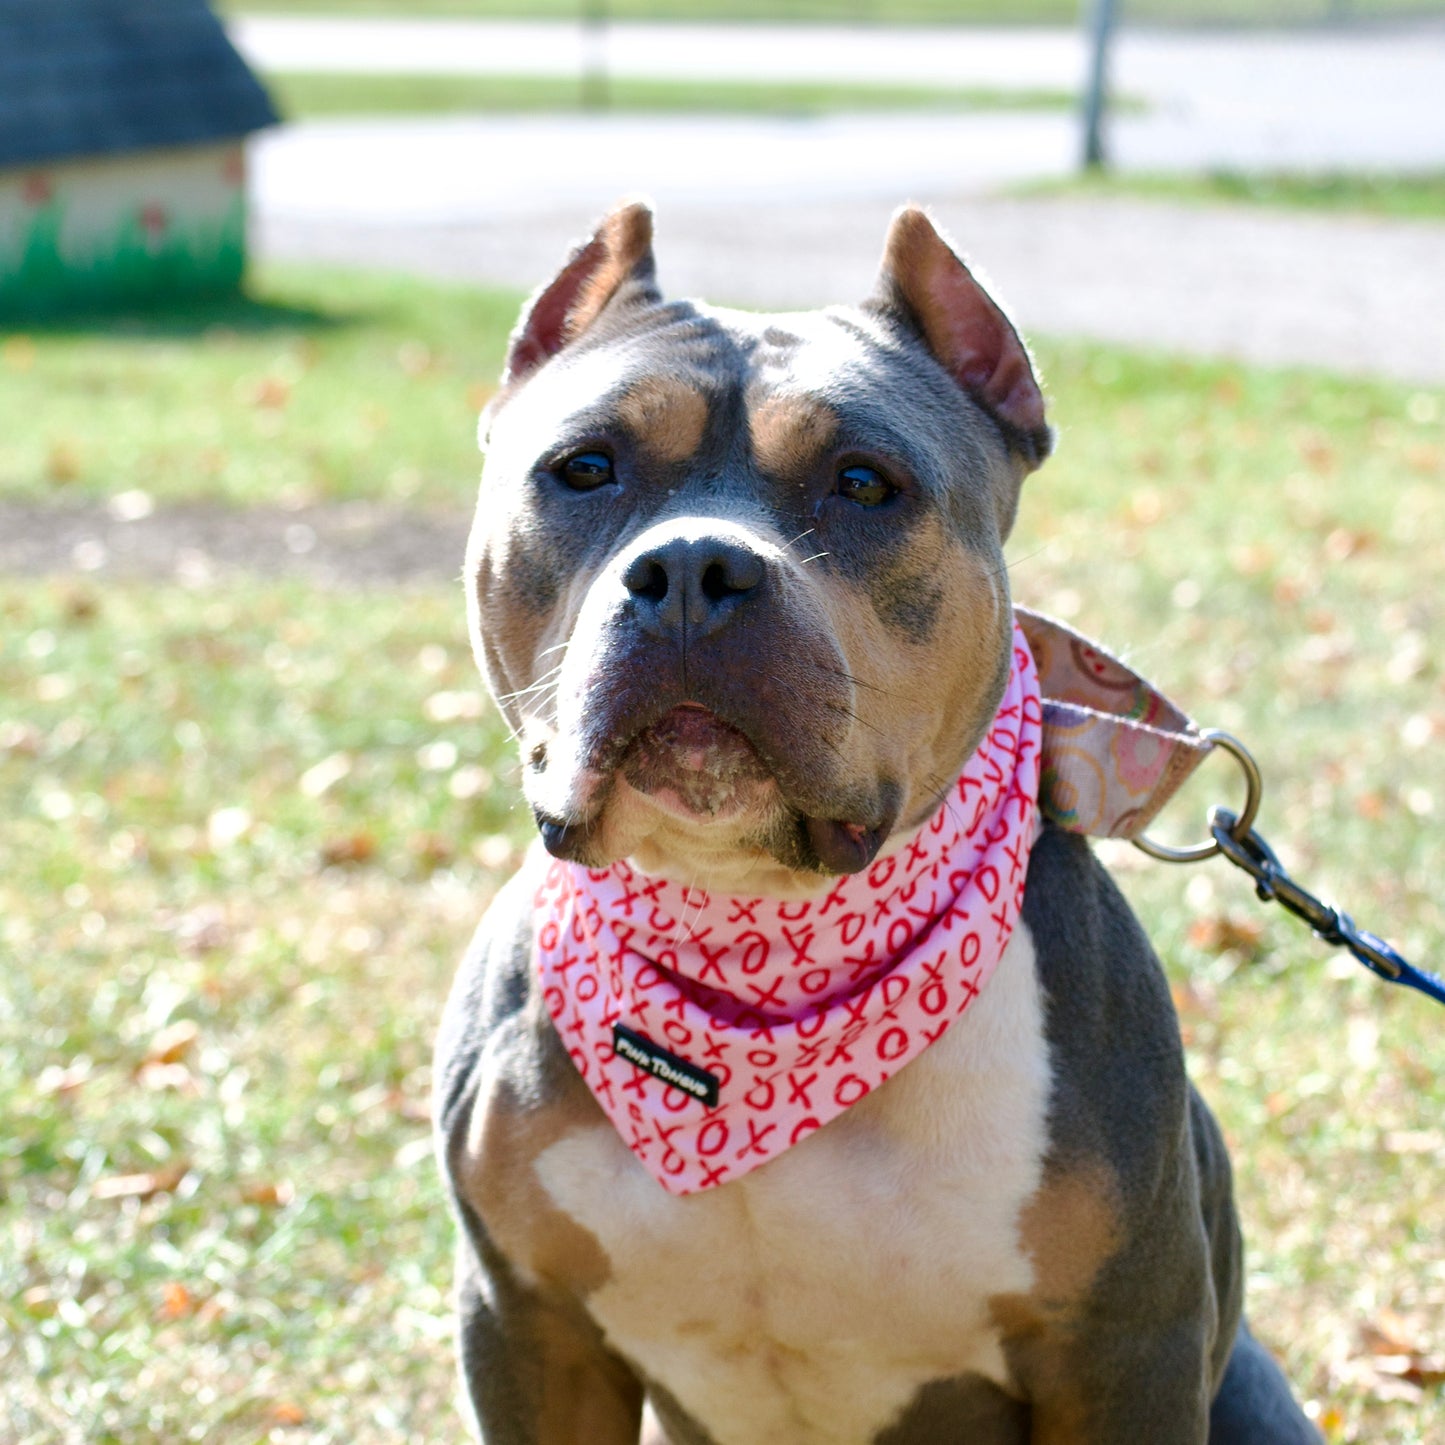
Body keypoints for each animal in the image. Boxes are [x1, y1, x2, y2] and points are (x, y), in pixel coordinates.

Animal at [430, 203, 1323, 1445]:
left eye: (863, 481)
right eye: (584, 468)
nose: (691, 567)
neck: (757, 933)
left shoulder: (1124, 1343)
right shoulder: (526, 1325)